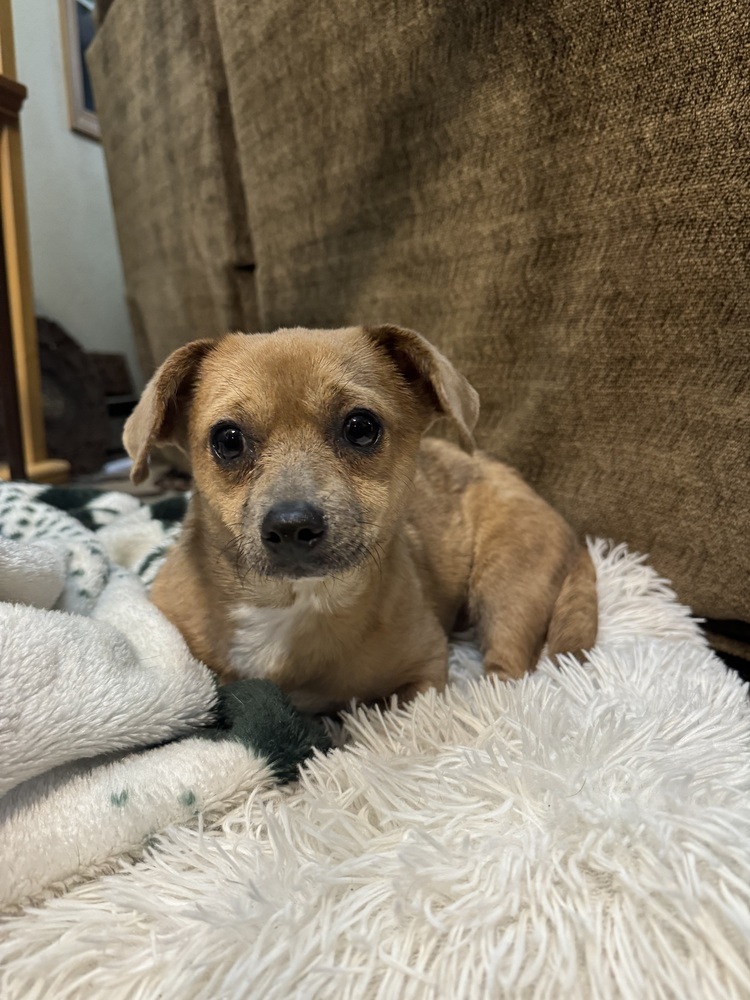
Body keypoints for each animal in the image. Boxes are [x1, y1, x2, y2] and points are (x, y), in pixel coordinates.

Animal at [125, 326, 600, 712]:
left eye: (361, 427)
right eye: (227, 439)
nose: (291, 525)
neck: (295, 603)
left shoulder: (427, 666)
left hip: (505, 588)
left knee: (508, 674)